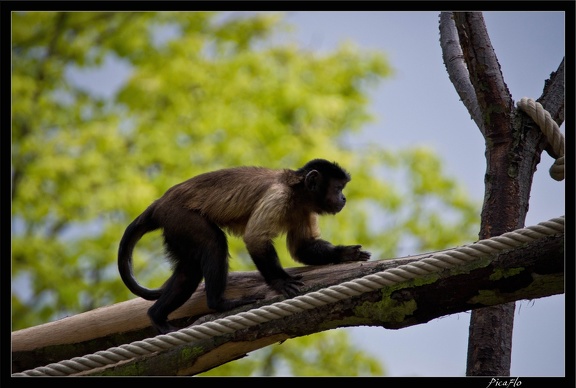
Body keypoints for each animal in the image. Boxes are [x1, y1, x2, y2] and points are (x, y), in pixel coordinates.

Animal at [118, 158, 368, 334]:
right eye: (338, 188)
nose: (343, 198)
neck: (297, 192)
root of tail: (160, 202)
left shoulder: (305, 209)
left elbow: (303, 248)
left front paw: (345, 254)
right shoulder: (278, 196)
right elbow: (255, 239)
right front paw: (280, 281)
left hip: (173, 226)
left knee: (189, 271)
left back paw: (156, 316)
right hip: (178, 216)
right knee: (213, 244)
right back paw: (219, 303)